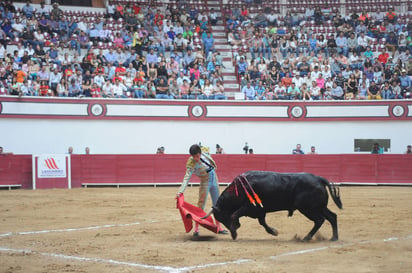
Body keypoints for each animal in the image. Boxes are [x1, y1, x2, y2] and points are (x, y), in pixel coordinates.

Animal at [202, 171, 342, 239]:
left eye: (221, 216)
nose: (236, 227)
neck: (240, 188)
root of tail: (318, 178)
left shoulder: (250, 207)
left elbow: (235, 214)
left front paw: (234, 234)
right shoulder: (259, 211)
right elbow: (263, 223)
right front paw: (274, 232)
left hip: (307, 208)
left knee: (319, 220)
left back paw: (306, 238)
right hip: (320, 207)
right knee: (332, 216)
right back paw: (334, 238)